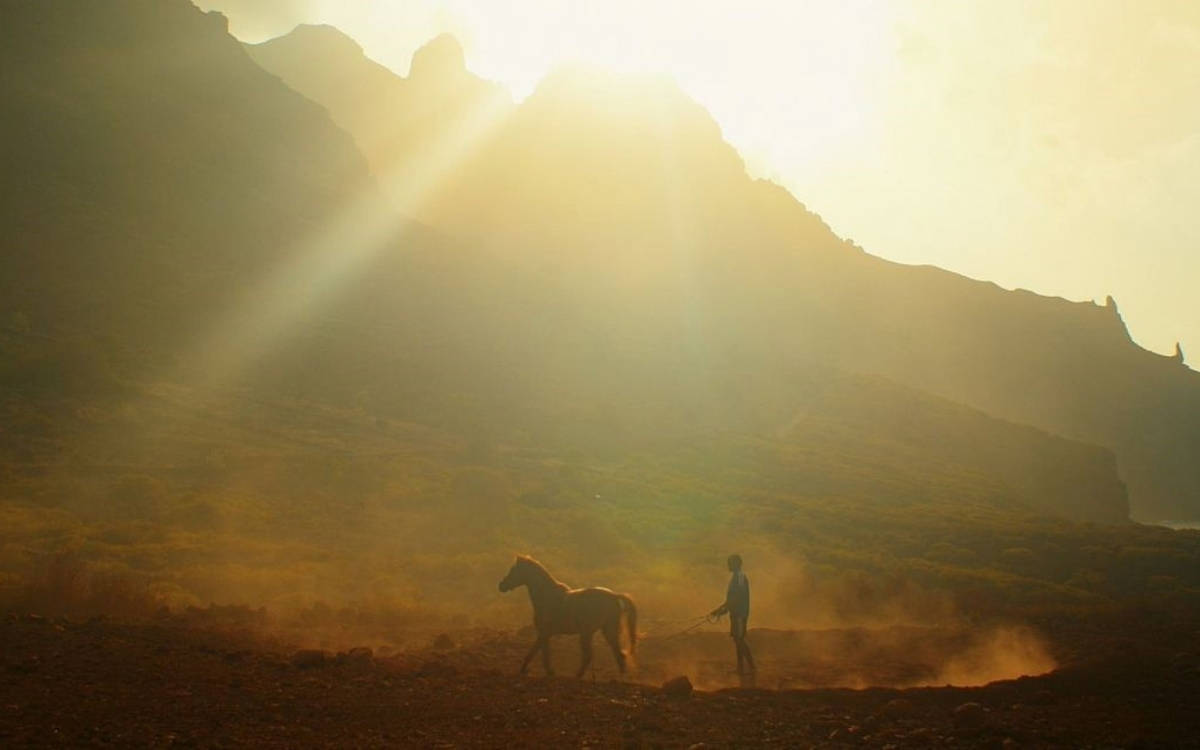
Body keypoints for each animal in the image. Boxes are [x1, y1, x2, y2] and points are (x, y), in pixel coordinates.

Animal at [496, 552, 638, 676]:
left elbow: (539, 654)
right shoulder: (545, 634)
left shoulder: (544, 633)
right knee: (618, 653)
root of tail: (613, 595)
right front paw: (529, 670)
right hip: (606, 631)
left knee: (591, 655)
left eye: (514, 570)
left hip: (588, 633)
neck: (547, 597)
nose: (501, 585)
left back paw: (578, 675)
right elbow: (537, 652)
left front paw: (547, 672)